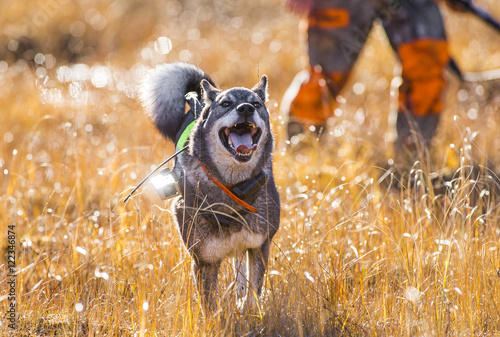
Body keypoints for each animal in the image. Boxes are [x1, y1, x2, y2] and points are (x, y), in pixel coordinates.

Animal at [142, 63, 282, 312]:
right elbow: (210, 308)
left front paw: (248, 310)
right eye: (226, 104)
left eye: (256, 104)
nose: (246, 109)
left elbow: (253, 294)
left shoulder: (259, 246)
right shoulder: (204, 259)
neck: (233, 187)